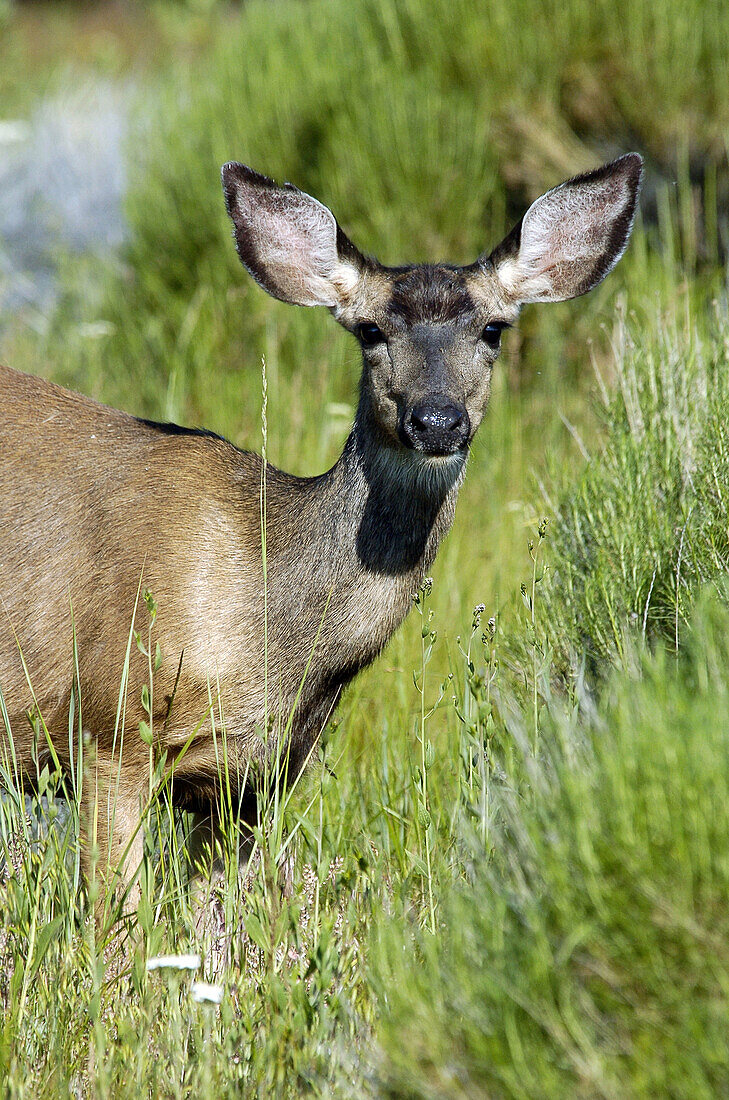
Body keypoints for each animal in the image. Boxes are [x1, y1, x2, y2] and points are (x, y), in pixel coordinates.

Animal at [0, 148, 637, 919]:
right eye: (370, 330)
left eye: (492, 329)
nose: (436, 420)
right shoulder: (110, 724)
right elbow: (113, 921)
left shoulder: (255, 783)